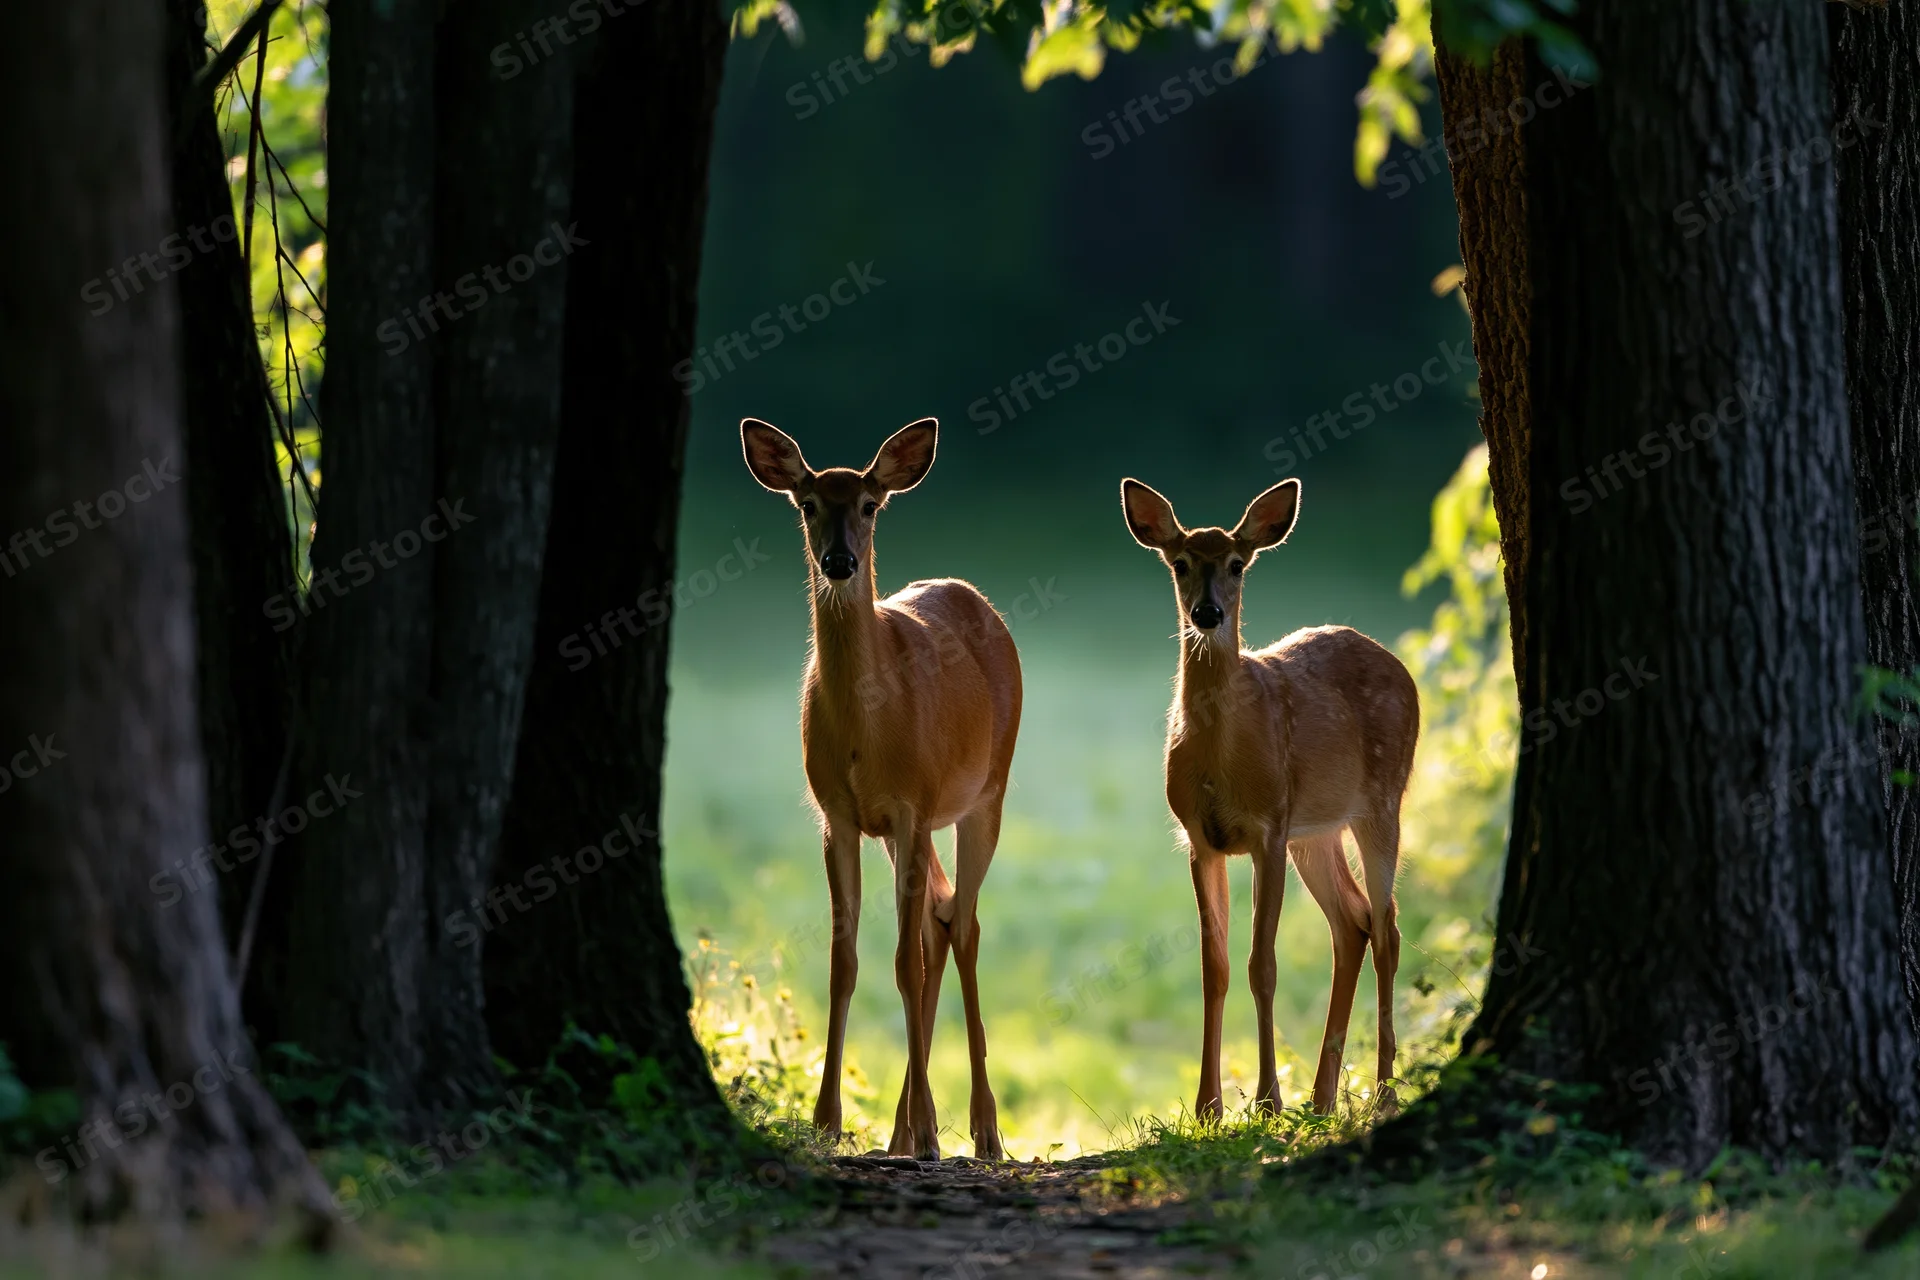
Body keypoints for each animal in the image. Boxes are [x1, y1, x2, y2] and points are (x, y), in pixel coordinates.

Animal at [742, 416, 1021, 1161]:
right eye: (808, 503)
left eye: (870, 505)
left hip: (987, 792)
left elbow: (903, 964)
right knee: (939, 918)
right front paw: (826, 1121)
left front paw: (928, 1130)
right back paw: (900, 1133)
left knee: (964, 925)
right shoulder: (837, 815)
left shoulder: (912, 807)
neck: (867, 730)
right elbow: (846, 962)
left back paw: (981, 1130)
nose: (839, 561)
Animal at [1120, 476, 1418, 1121]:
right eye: (1180, 563)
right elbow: (1215, 967)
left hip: (1382, 799)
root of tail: (1398, 665)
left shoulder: (1269, 829)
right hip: (1319, 830)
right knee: (1353, 923)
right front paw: (1208, 1105)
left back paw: (1383, 1092)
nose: (1208, 612)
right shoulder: (1199, 838)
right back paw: (1324, 1099)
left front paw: (1266, 1100)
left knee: (1386, 927)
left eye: (1237, 564)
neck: (1222, 759)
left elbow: (1264, 964)